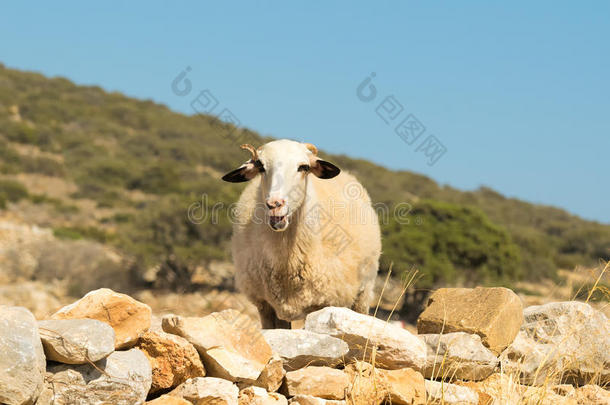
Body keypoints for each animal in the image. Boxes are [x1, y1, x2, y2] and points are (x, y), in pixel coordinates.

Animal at [221, 139, 378, 328]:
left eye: (304, 167)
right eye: (261, 166)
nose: (275, 204)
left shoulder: (321, 303)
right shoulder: (265, 305)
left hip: (363, 293)